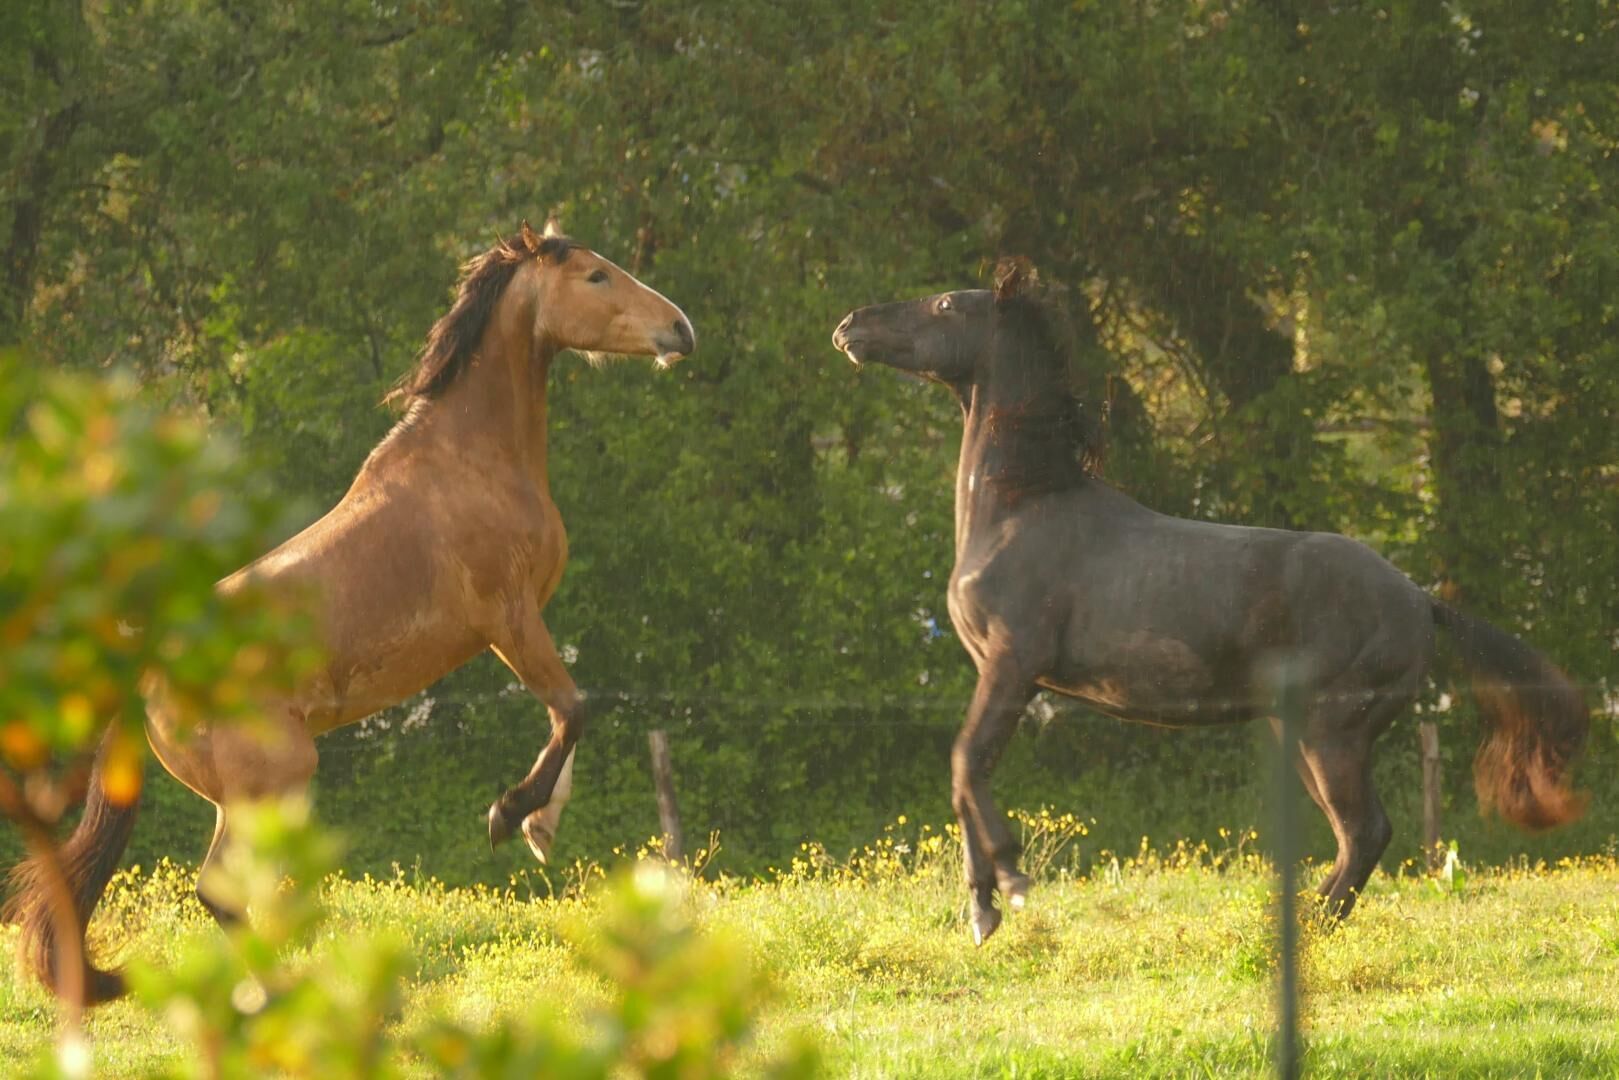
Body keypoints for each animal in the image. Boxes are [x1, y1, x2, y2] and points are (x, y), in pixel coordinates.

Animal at [7, 218, 695, 1003]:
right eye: (595, 276)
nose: (681, 329)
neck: (476, 461)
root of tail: (151, 672)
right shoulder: (508, 619)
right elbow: (573, 707)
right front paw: (509, 815)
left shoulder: (525, 624)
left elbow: (567, 712)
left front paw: (541, 829)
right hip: (275, 781)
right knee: (219, 891)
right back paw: (279, 997)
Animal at [832, 256, 1588, 944]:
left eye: (944, 306)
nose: (849, 326)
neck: (1021, 507)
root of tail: (1417, 598)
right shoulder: (997, 670)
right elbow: (966, 774)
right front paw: (981, 911)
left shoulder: (1013, 664)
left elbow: (966, 762)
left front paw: (1012, 885)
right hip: (1298, 732)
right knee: (1356, 836)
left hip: (1331, 733)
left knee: (1365, 831)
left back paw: (1303, 930)